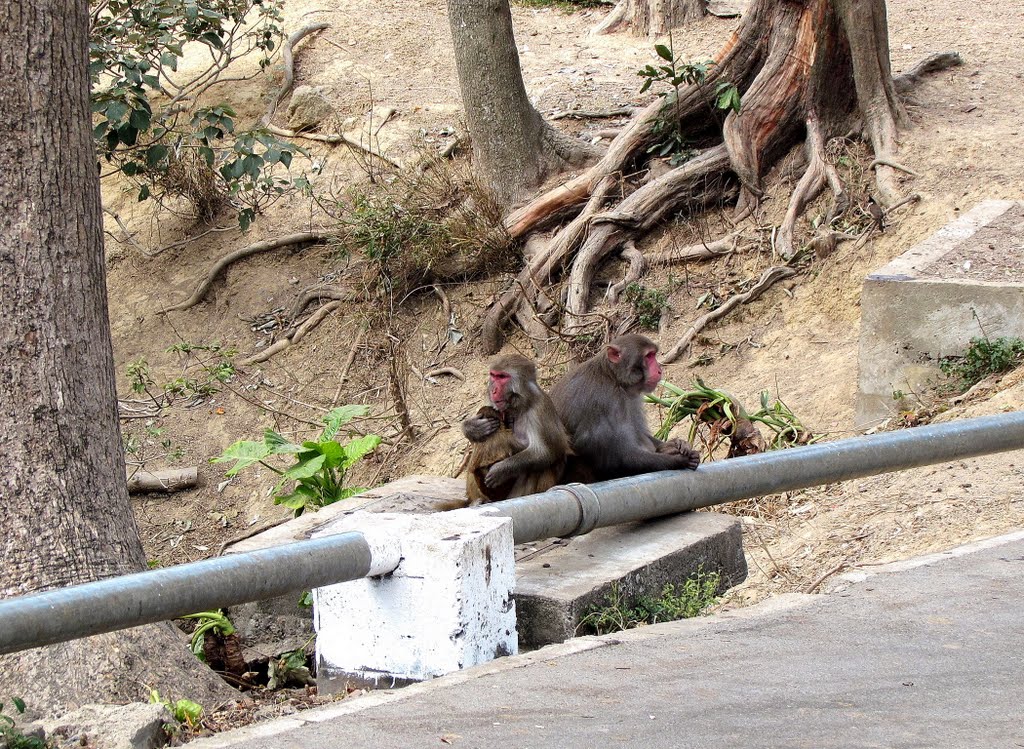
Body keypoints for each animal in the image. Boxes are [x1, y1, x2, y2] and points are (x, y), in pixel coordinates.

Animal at [460, 354, 573, 506]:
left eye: (502, 377)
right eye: (494, 375)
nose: (493, 390)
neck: (516, 405)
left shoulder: (540, 409)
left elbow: (546, 452)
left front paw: (501, 470)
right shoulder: (491, 402)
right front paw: (472, 428)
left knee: (537, 467)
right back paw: (478, 500)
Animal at [552, 334, 704, 479]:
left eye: (653, 355)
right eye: (648, 356)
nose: (660, 370)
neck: (613, 378)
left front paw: (673, 445)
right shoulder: (603, 401)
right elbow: (617, 459)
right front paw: (679, 460)